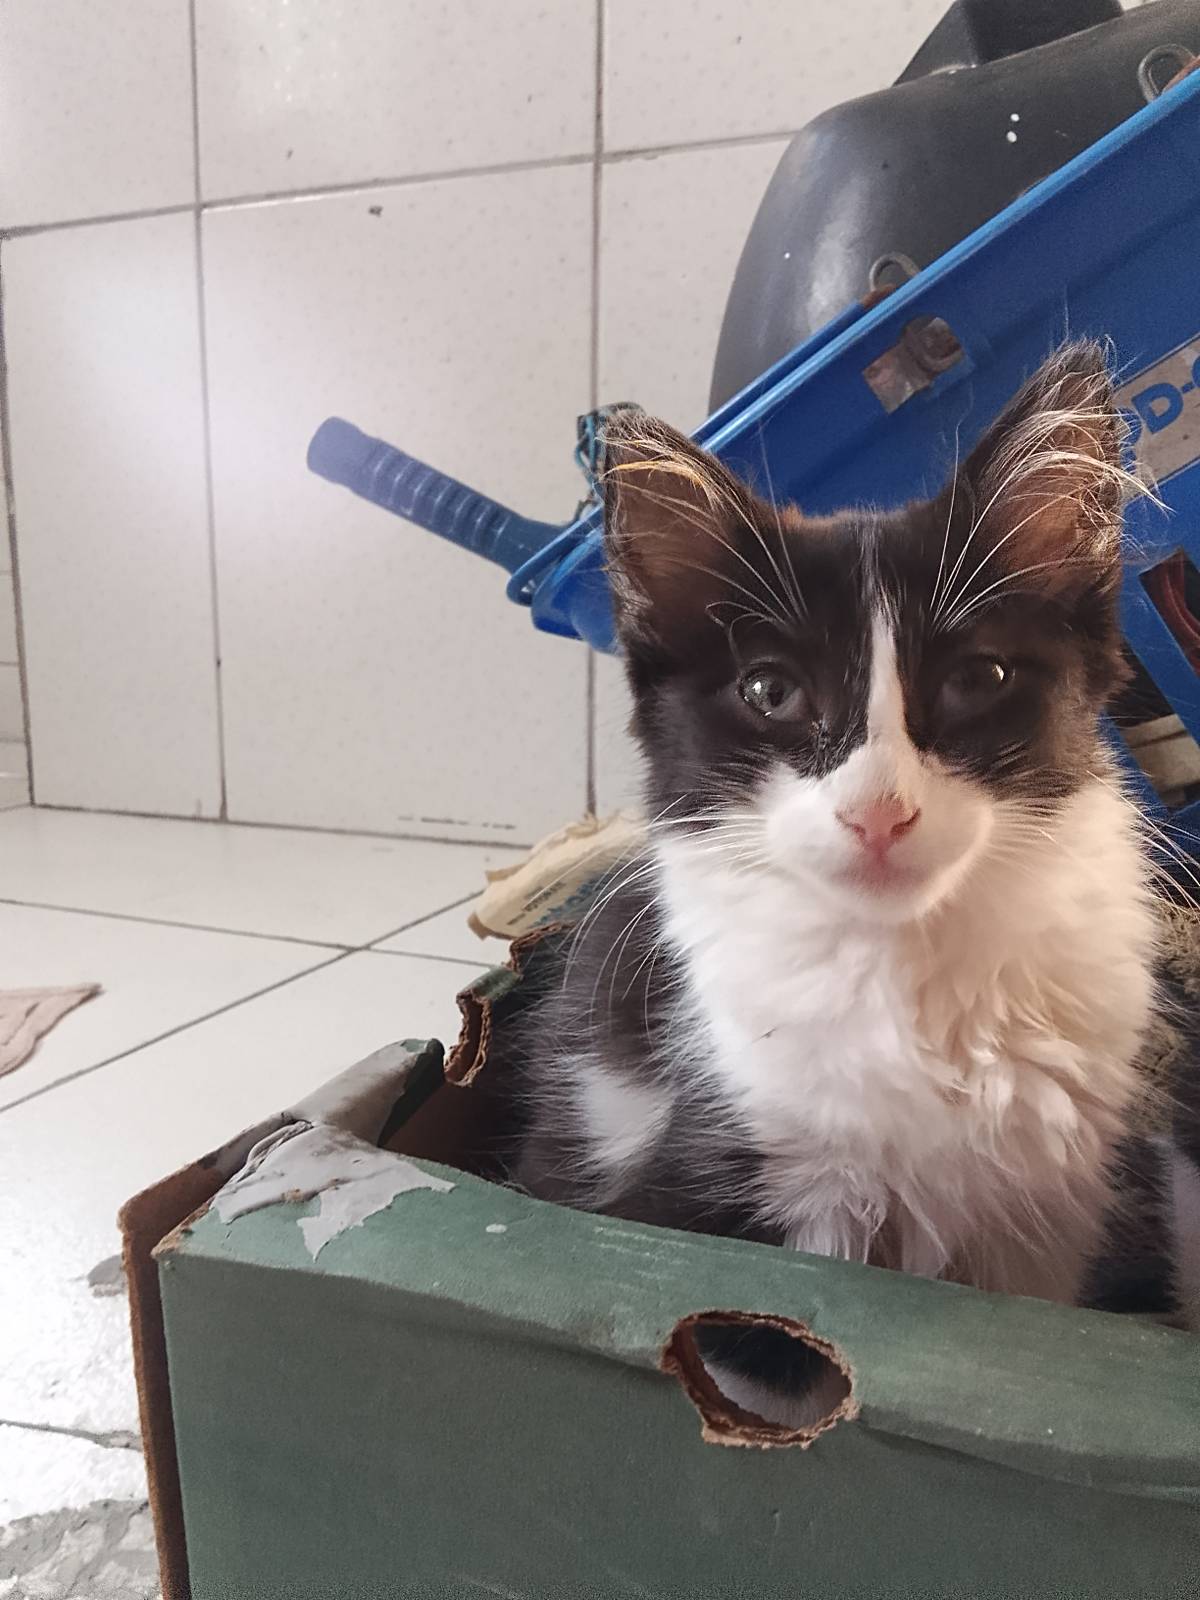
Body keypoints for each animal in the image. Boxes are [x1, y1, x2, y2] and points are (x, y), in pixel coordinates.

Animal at [515, 341, 1167, 1329]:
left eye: (980, 679)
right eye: (771, 692)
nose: (879, 812)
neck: (899, 963)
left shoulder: (1052, 1211)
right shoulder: (732, 1162)